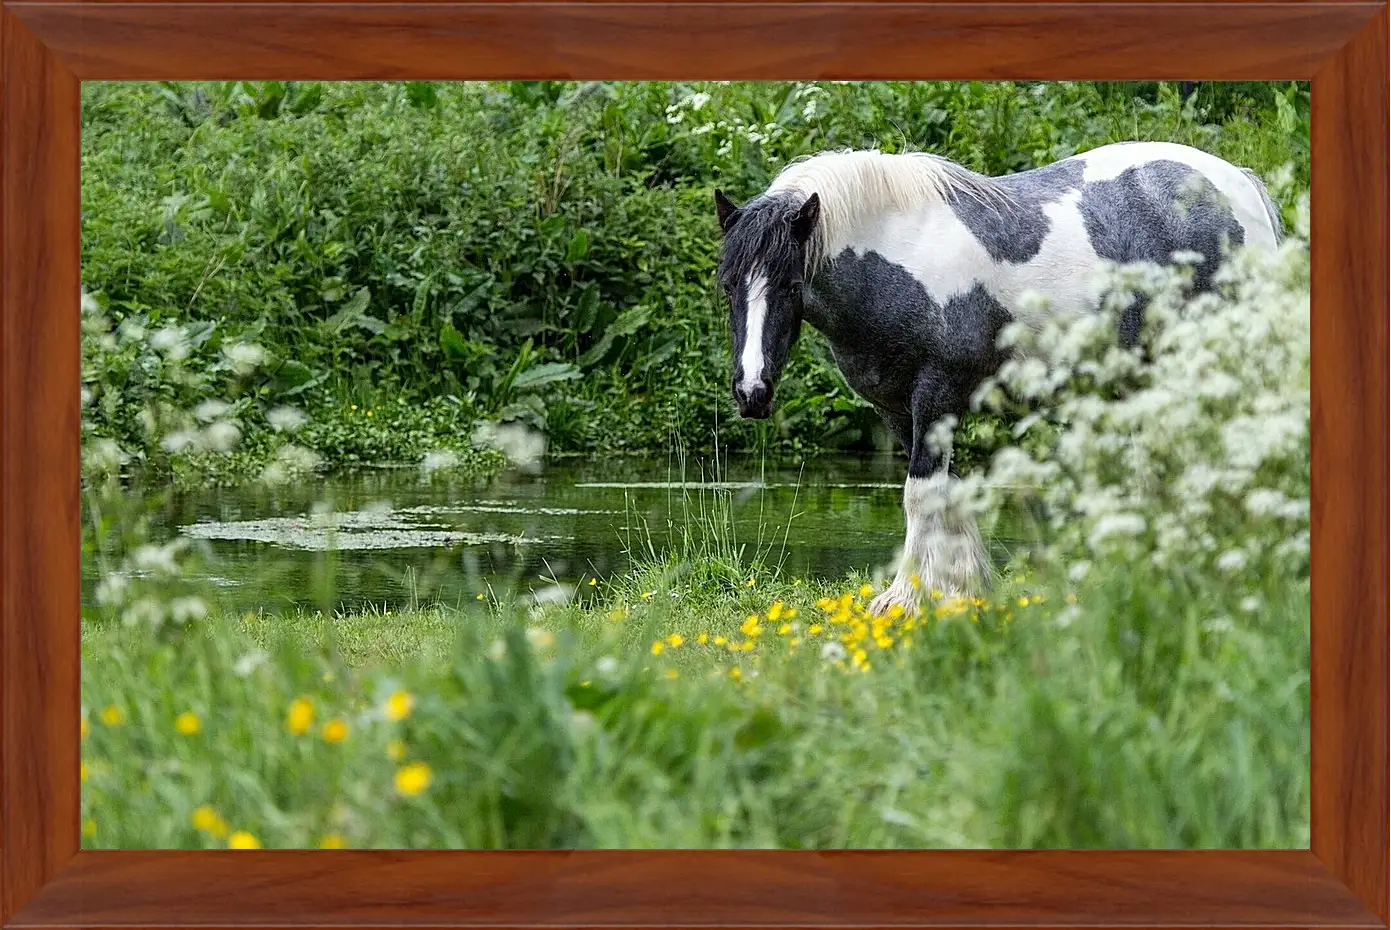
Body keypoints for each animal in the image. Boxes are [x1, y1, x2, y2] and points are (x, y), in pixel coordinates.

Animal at [717, 139, 1279, 617]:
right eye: (728, 285)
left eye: (792, 285)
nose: (751, 392)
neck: (899, 256)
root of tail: (1241, 185)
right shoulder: (899, 411)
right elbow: (948, 495)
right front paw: (963, 590)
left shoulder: (937, 396)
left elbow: (920, 495)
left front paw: (905, 600)